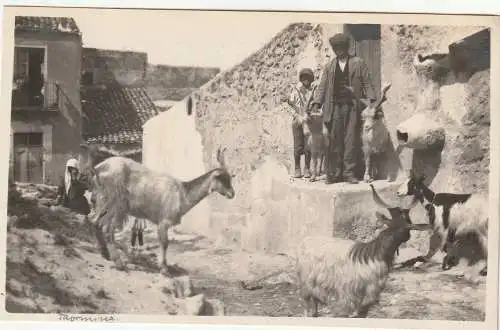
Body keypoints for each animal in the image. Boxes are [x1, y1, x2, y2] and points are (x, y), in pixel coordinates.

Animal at [88, 146, 236, 276]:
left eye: (230, 177)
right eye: (222, 178)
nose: (232, 194)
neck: (182, 195)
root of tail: (98, 169)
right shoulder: (163, 221)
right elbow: (165, 243)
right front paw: (164, 269)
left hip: (102, 203)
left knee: (95, 222)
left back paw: (111, 254)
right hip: (115, 203)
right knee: (106, 229)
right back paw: (119, 262)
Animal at [294, 184, 428, 316]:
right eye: (408, 227)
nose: (408, 237)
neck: (373, 254)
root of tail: (306, 240)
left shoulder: (367, 300)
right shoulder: (346, 298)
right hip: (306, 287)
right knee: (308, 309)